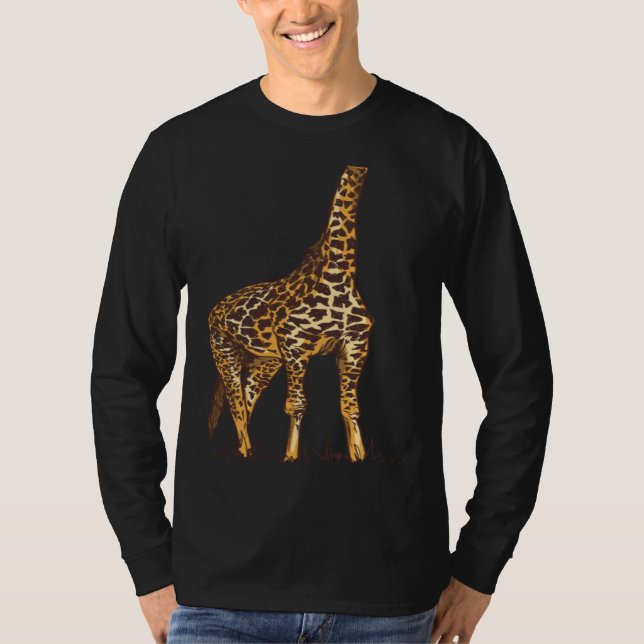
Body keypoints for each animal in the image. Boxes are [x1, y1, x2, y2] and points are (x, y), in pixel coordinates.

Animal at [207, 164, 374, 462]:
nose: (360, 167)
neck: (338, 273)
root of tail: (216, 308)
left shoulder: (356, 345)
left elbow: (350, 406)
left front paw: (359, 457)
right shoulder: (296, 345)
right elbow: (297, 404)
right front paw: (290, 458)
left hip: (266, 361)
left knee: (246, 399)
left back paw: (245, 452)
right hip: (224, 350)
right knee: (235, 400)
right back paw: (246, 452)